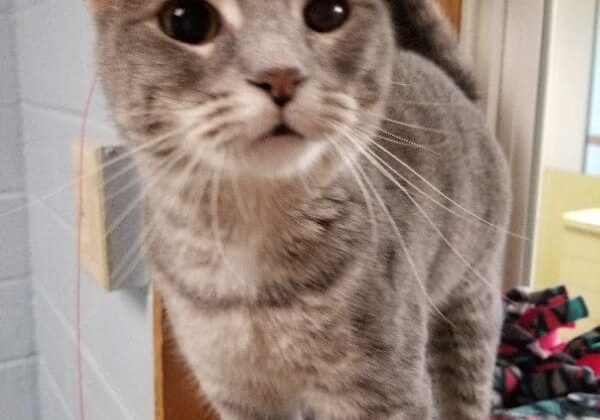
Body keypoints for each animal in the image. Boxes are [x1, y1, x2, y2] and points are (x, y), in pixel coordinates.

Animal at [89, 1, 510, 418]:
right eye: (186, 21)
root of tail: (457, 85)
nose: (280, 76)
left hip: (471, 306)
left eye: (329, 13)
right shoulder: (236, 390)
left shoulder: (385, 388)